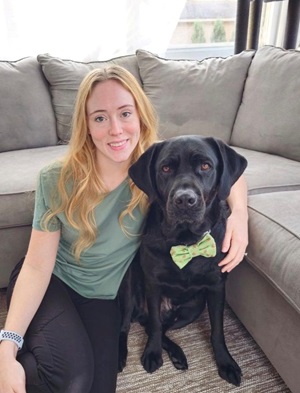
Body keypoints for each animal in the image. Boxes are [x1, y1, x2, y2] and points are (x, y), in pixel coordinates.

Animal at [118, 136, 247, 386]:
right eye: (166, 168)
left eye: (205, 166)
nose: (185, 199)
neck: (186, 242)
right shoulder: (153, 284)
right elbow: (155, 324)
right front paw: (152, 353)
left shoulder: (217, 287)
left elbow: (218, 330)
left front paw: (226, 362)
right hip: (129, 290)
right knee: (132, 325)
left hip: (192, 309)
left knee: (155, 327)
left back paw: (177, 354)